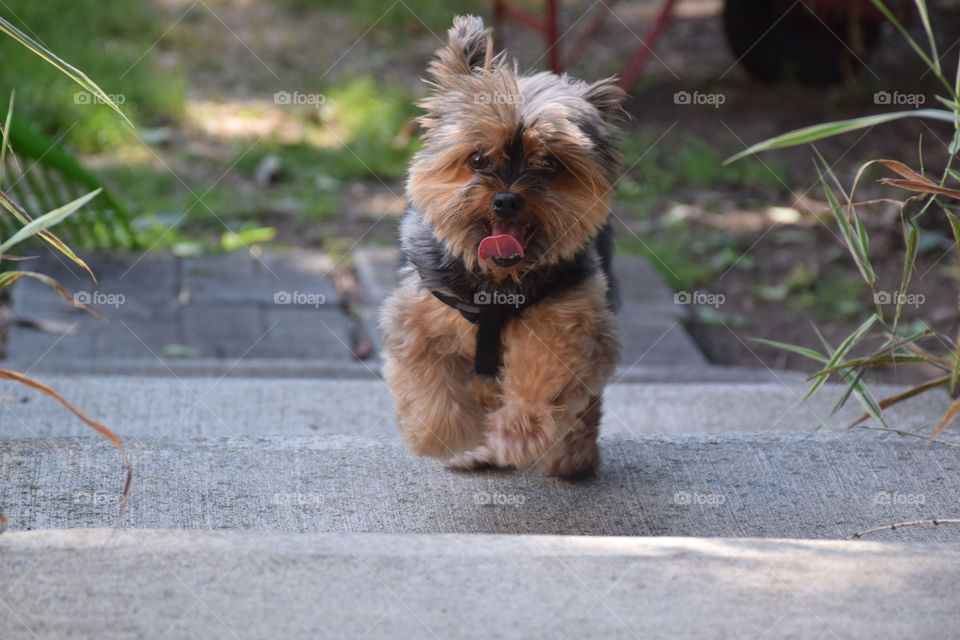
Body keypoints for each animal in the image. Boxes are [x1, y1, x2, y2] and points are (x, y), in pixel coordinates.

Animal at [378, 15, 628, 480]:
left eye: (549, 163)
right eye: (477, 159)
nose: (507, 199)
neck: (496, 283)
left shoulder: (570, 320)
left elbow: (543, 373)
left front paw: (517, 434)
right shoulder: (417, 318)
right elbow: (429, 389)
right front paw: (449, 436)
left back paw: (572, 457)